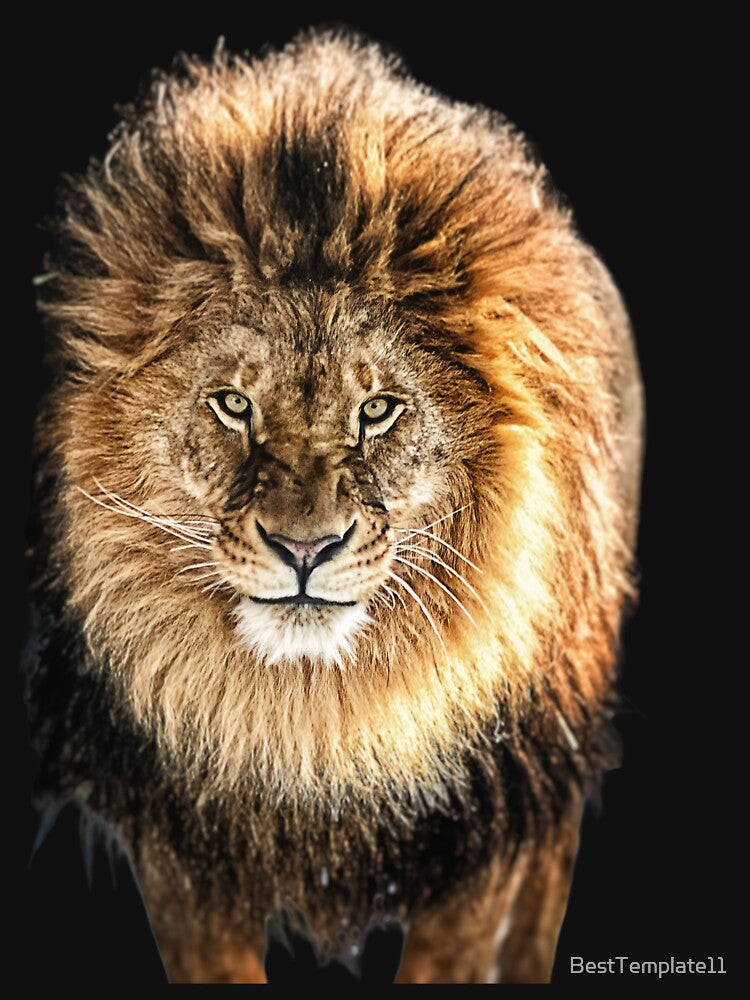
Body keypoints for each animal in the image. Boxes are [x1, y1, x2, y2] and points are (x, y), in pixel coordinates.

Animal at [26, 29, 644, 983]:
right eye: (233, 404)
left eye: (378, 409)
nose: (306, 549)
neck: (318, 718)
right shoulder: (179, 847)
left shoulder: (486, 841)